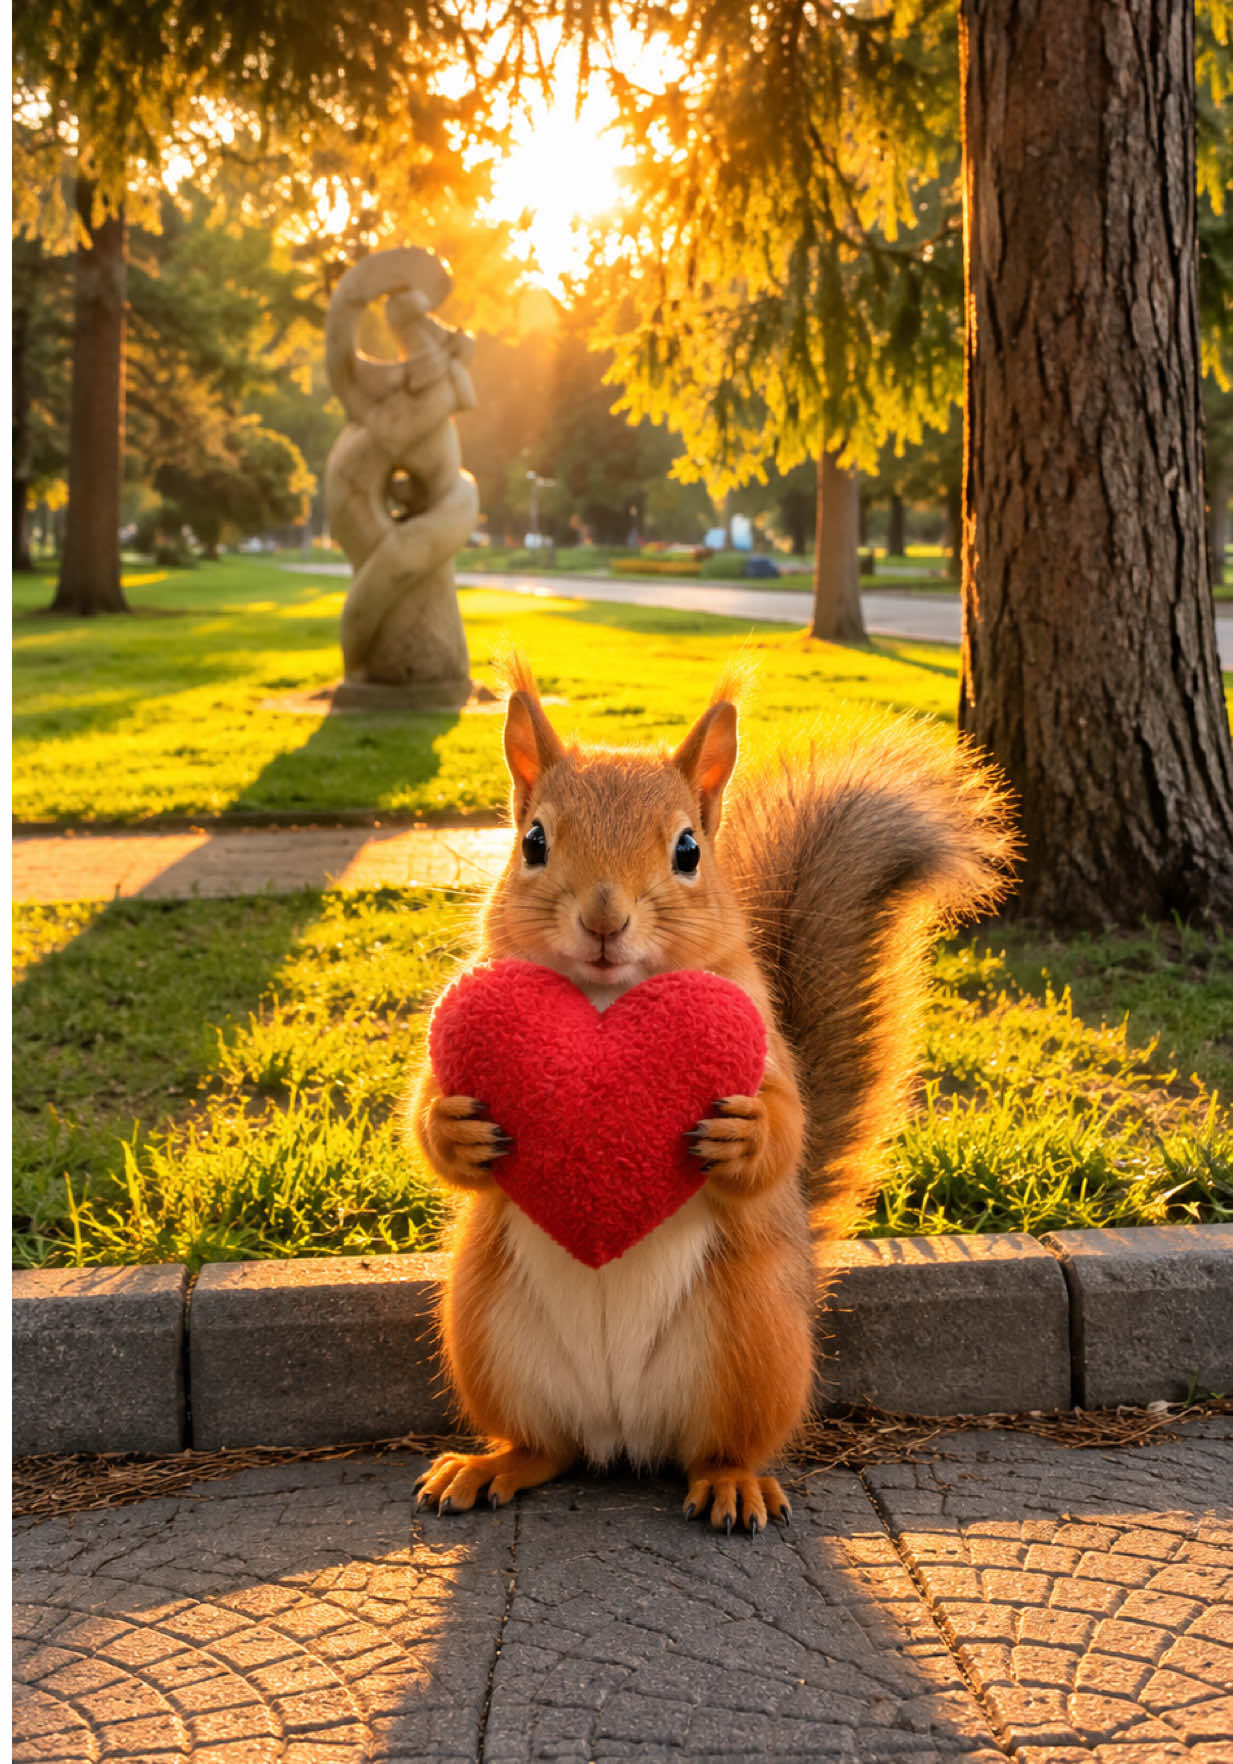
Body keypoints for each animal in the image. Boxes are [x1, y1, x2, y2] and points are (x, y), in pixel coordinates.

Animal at [408, 655, 1015, 1532]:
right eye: (533, 842)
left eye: (688, 849)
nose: (604, 919)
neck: (606, 999)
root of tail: (620, 1435)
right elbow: (422, 1120)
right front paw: (456, 1127)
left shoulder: (761, 1042)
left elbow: (789, 1129)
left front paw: (744, 1137)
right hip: (483, 1338)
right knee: (544, 1446)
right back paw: (490, 1465)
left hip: (752, 1345)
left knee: (722, 1446)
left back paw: (732, 1484)